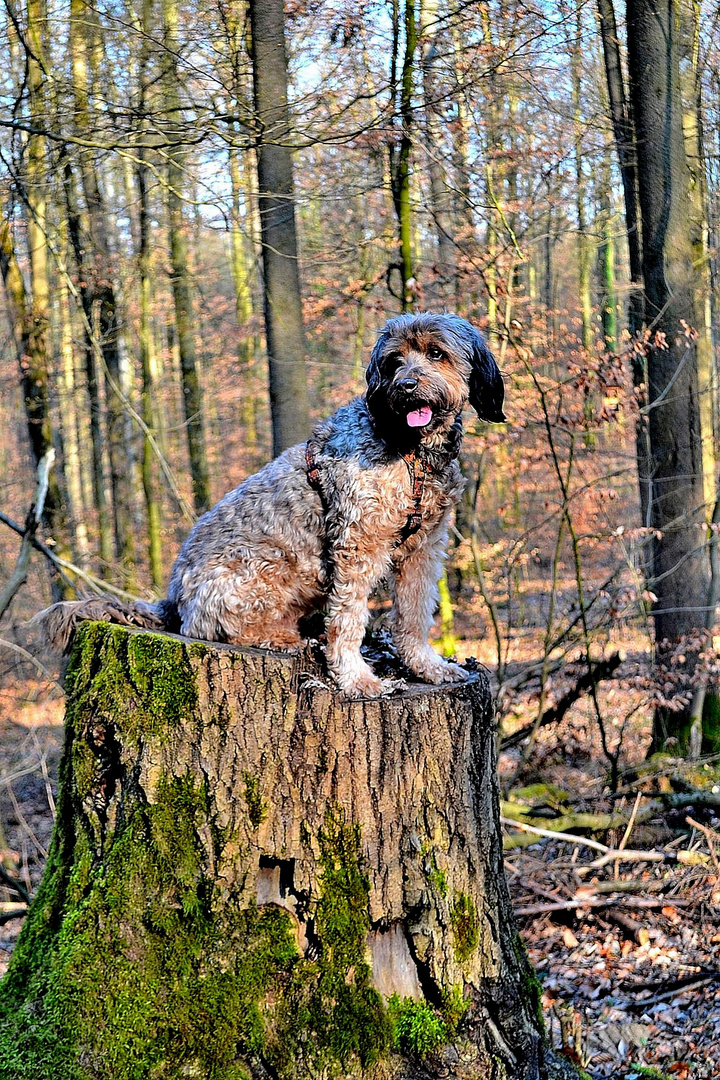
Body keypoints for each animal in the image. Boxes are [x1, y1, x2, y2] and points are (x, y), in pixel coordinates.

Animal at [39, 313, 505, 699]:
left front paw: (426, 666)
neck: (411, 452)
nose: (405, 387)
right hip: (257, 570)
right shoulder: (358, 545)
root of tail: (171, 597)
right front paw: (356, 678)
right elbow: (348, 619)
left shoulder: (423, 548)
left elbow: (414, 615)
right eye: (393, 362)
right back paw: (282, 636)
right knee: (213, 627)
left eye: (436, 353)